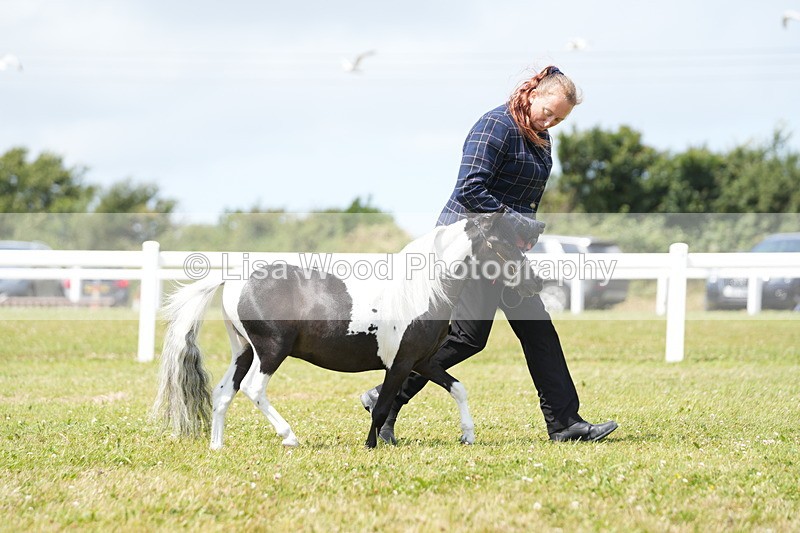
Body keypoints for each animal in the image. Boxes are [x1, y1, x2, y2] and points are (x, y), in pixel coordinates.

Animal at [152, 212, 541, 449]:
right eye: (505, 243)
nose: (534, 283)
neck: (423, 289)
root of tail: (233, 277)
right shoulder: (399, 365)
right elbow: (382, 407)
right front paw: (371, 445)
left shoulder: (423, 361)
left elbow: (458, 388)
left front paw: (468, 436)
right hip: (271, 352)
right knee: (253, 389)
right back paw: (289, 436)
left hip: (244, 352)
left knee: (223, 393)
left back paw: (216, 445)